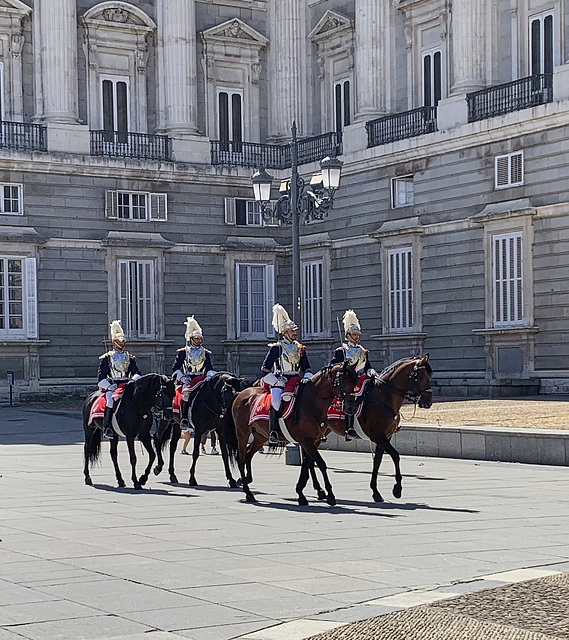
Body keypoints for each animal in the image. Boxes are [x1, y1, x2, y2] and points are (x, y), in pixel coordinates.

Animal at [230, 362, 356, 508]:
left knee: (248, 454)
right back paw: (248, 493)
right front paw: (330, 495)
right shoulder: (306, 441)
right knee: (241, 458)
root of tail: (242, 393)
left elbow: (307, 464)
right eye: (344, 380)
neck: (311, 402)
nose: (351, 408)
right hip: (242, 433)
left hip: (260, 436)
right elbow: (320, 463)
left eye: (355, 380)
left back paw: (246, 480)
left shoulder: (314, 441)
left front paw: (301, 493)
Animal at [322, 352, 432, 502]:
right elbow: (395, 455)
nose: (428, 402)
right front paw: (397, 489)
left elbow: (377, 461)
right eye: (420, 376)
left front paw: (376, 492)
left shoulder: (386, 437)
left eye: (430, 376)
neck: (384, 396)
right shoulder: (378, 436)